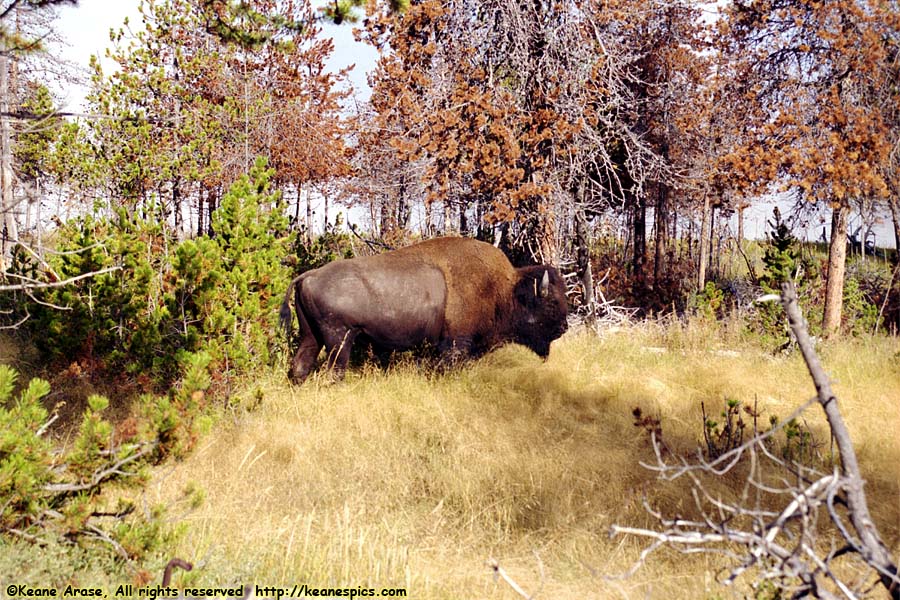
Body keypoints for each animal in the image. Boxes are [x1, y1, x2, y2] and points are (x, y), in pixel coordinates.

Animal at [278, 236, 568, 384]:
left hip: (310, 336)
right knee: (333, 372)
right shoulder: (455, 347)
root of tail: (309, 275)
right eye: (551, 302)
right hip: (340, 340)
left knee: (300, 367)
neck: (503, 289)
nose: (564, 328)